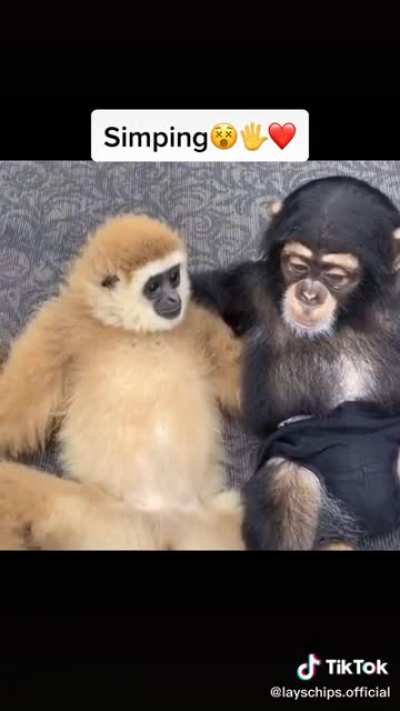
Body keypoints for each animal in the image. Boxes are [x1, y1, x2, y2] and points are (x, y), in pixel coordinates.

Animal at [0, 214, 244, 550]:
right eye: (153, 286)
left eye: (174, 276)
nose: (173, 297)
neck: (131, 330)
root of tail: (162, 524)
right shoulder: (61, 325)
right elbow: (13, 417)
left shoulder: (197, 324)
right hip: (103, 522)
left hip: (204, 530)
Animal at [191, 176, 400, 550]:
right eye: (298, 266)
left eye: (335, 275)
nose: (309, 293)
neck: (346, 318)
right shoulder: (247, 289)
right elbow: (202, 293)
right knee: (287, 488)